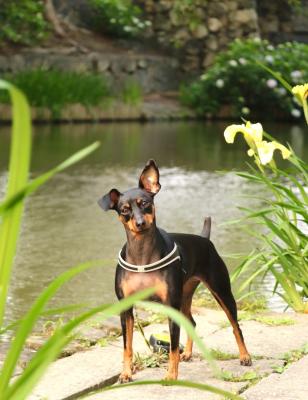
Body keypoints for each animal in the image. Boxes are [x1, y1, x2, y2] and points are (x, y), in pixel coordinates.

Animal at [98, 159, 250, 382]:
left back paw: (245, 356)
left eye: (145, 203)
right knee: (192, 323)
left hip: (221, 292)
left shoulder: (171, 305)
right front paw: (126, 374)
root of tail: (205, 238)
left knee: (235, 326)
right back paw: (187, 353)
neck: (142, 254)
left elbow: (172, 348)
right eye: (124, 209)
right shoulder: (126, 309)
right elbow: (127, 346)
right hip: (185, 297)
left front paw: (171, 376)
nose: (140, 223)